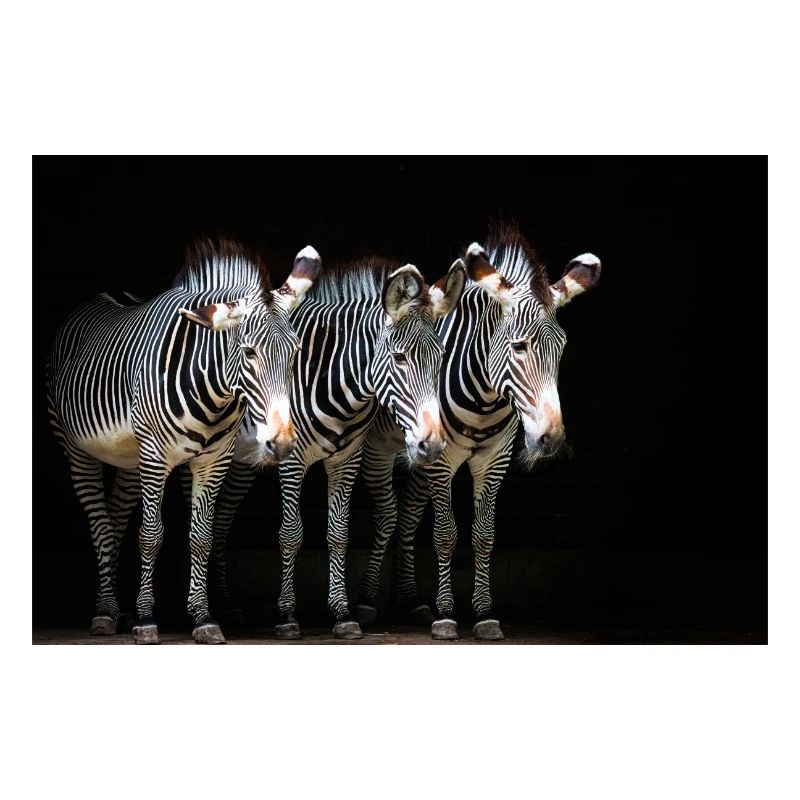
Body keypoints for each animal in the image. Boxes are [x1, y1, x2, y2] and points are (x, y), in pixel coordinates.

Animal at [46, 240, 321, 644]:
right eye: (249, 352)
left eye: (296, 353)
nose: (282, 444)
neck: (213, 392)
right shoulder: (155, 456)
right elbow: (150, 536)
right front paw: (146, 620)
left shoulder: (213, 460)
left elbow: (201, 537)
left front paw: (203, 617)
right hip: (79, 450)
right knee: (99, 525)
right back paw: (106, 612)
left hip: (129, 458)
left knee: (114, 518)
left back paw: (116, 609)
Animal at [205, 256, 467, 639]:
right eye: (400, 358)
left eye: (441, 356)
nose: (431, 444)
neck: (333, 380)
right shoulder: (292, 459)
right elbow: (291, 533)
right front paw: (287, 616)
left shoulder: (347, 459)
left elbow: (338, 533)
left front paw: (342, 614)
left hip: (243, 459)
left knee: (222, 517)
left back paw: (226, 606)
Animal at [353, 225, 601, 640]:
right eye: (519, 347)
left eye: (562, 348)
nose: (550, 439)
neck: (485, 400)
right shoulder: (442, 461)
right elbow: (445, 533)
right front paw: (446, 614)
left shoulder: (493, 460)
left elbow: (484, 534)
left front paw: (484, 613)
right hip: (380, 449)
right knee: (387, 515)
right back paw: (368, 600)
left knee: (407, 514)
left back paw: (411, 600)